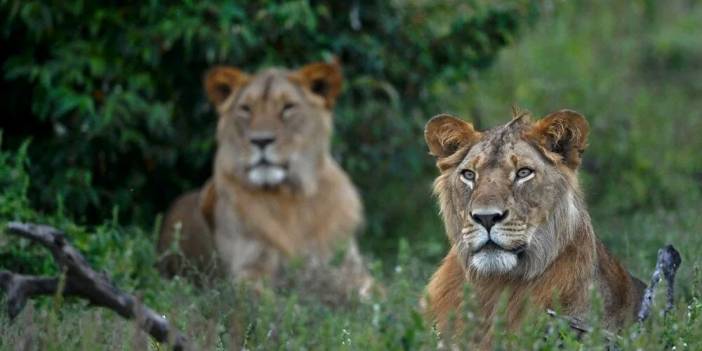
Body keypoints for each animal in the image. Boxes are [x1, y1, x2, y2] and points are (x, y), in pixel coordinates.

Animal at [157, 60, 376, 300]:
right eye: (246, 109)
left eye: (288, 107)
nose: (261, 141)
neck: (292, 197)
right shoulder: (247, 271)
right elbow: (267, 300)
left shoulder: (350, 270)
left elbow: (374, 295)